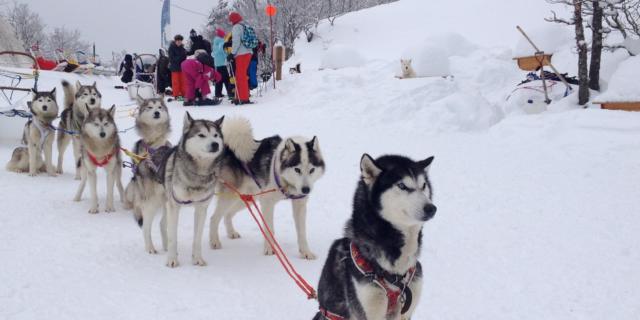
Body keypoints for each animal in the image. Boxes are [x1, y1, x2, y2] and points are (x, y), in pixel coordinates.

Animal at [134, 112, 226, 268]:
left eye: (215, 135)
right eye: (201, 135)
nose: (215, 144)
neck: (198, 172)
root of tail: (144, 157)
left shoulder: (201, 208)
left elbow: (197, 238)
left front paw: (197, 259)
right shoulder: (175, 206)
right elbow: (173, 237)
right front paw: (172, 260)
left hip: (166, 202)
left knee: (162, 224)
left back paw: (165, 247)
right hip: (153, 203)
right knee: (146, 226)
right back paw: (150, 248)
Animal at [211, 117, 324, 260]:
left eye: (312, 170)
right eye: (297, 169)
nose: (306, 190)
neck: (286, 182)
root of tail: (227, 147)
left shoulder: (300, 204)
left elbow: (302, 232)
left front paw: (305, 252)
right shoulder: (267, 203)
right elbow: (269, 228)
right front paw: (269, 249)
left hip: (246, 199)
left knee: (227, 214)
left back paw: (231, 233)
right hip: (230, 197)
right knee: (214, 218)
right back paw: (214, 242)